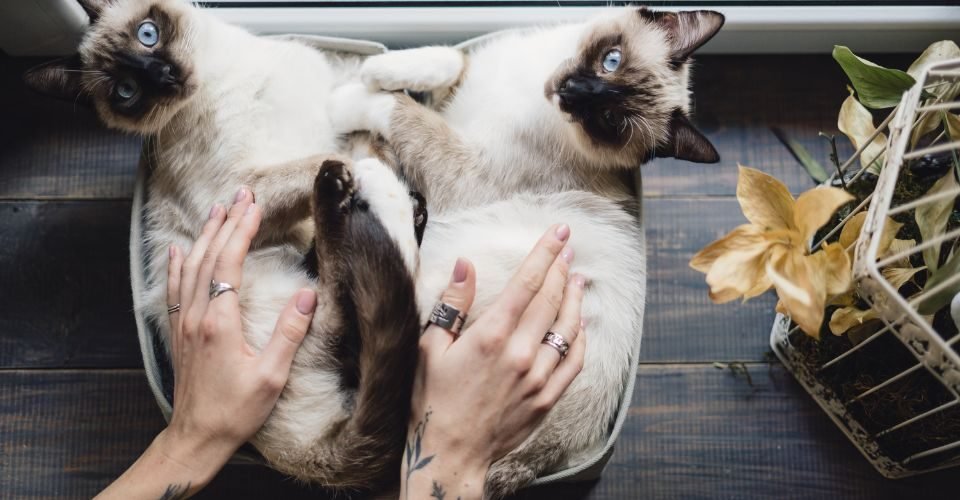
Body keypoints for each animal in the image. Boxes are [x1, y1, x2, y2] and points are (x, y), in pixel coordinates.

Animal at [24, 0, 424, 488]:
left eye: (148, 35)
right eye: (126, 91)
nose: (164, 75)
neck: (222, 74)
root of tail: (298, 459)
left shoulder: (328, 110)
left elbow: (361, 130)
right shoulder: (241, 190)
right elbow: (333, 158)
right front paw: (366, 175)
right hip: (291, 295)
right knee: (339, 304)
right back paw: (354, 202)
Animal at [334, 6, 724, 496]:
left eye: (609, 119)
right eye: (611, 60)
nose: (572, 91)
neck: (532, 86)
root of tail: (550, 454)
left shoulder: (462, 172)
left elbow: (400, 110)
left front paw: (347, 94)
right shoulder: (458, 96)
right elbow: (447, 60)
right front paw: (377, 70)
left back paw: (372, 175)